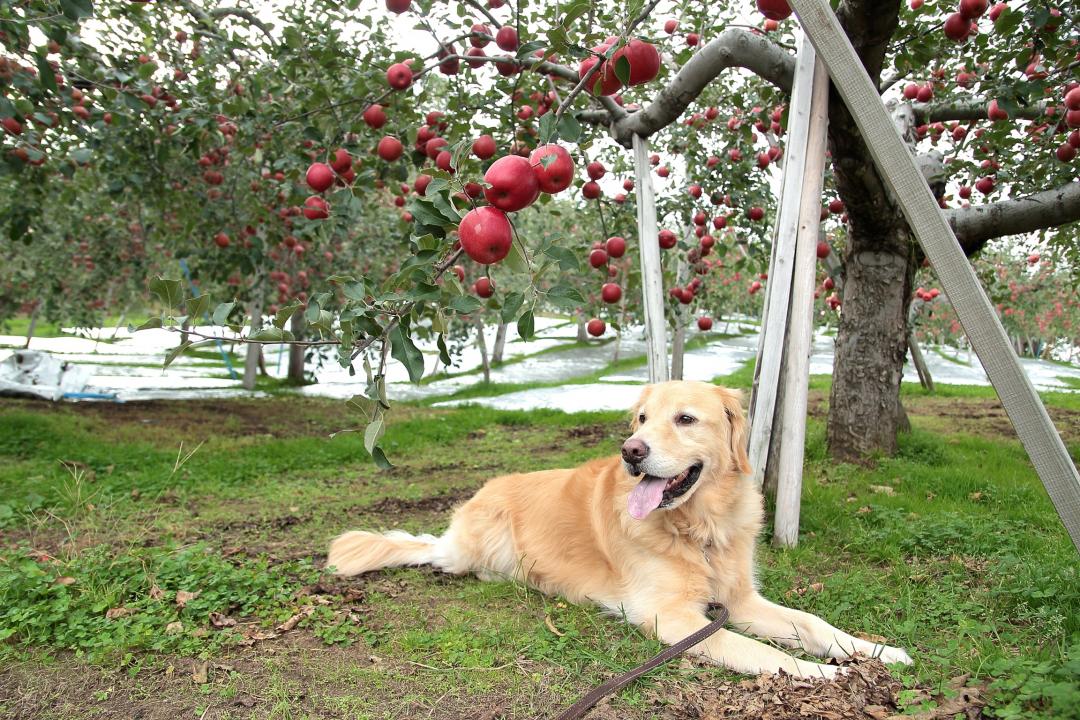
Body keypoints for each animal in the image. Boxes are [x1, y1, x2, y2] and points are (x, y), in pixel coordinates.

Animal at [326, 379, 911, 677]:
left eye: (685, 419)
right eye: (642, 419)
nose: (631, 452)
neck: (698, 528)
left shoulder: (739, 600)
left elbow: (813, 624)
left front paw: (874, 651)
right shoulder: (672, 618)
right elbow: (759, 651)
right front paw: (818, 673)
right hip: (476, 545)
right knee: (429, 549)